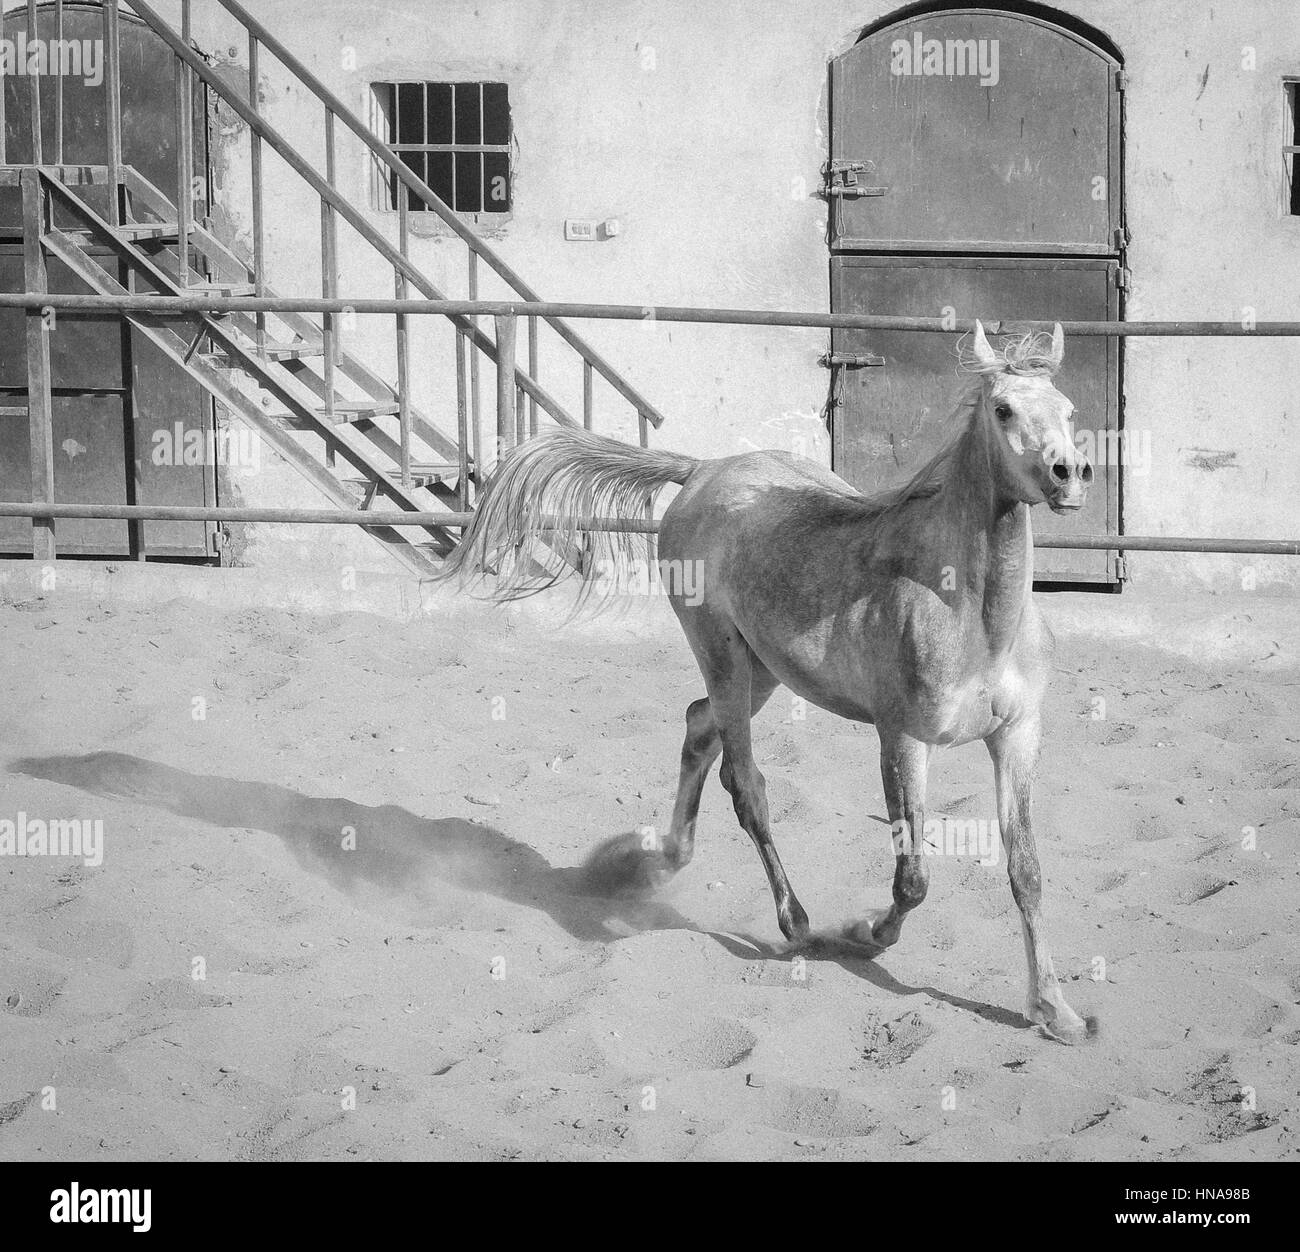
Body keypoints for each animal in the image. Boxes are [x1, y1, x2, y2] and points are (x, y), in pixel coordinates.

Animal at [439, 320, 1096, 1044]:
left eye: (1068, 409)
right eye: (1003, 409)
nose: (1069, 475)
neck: (972, 614)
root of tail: (700, 472)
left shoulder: (1017, 736)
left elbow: (1026, 870)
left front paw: (1056, 1011)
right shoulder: (903, 738)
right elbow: (912, 879)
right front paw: (866, 932)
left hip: (762, 672)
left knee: (699, 726)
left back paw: (663, 858)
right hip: (724, 655)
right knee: (745, 783)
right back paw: (795, 922)